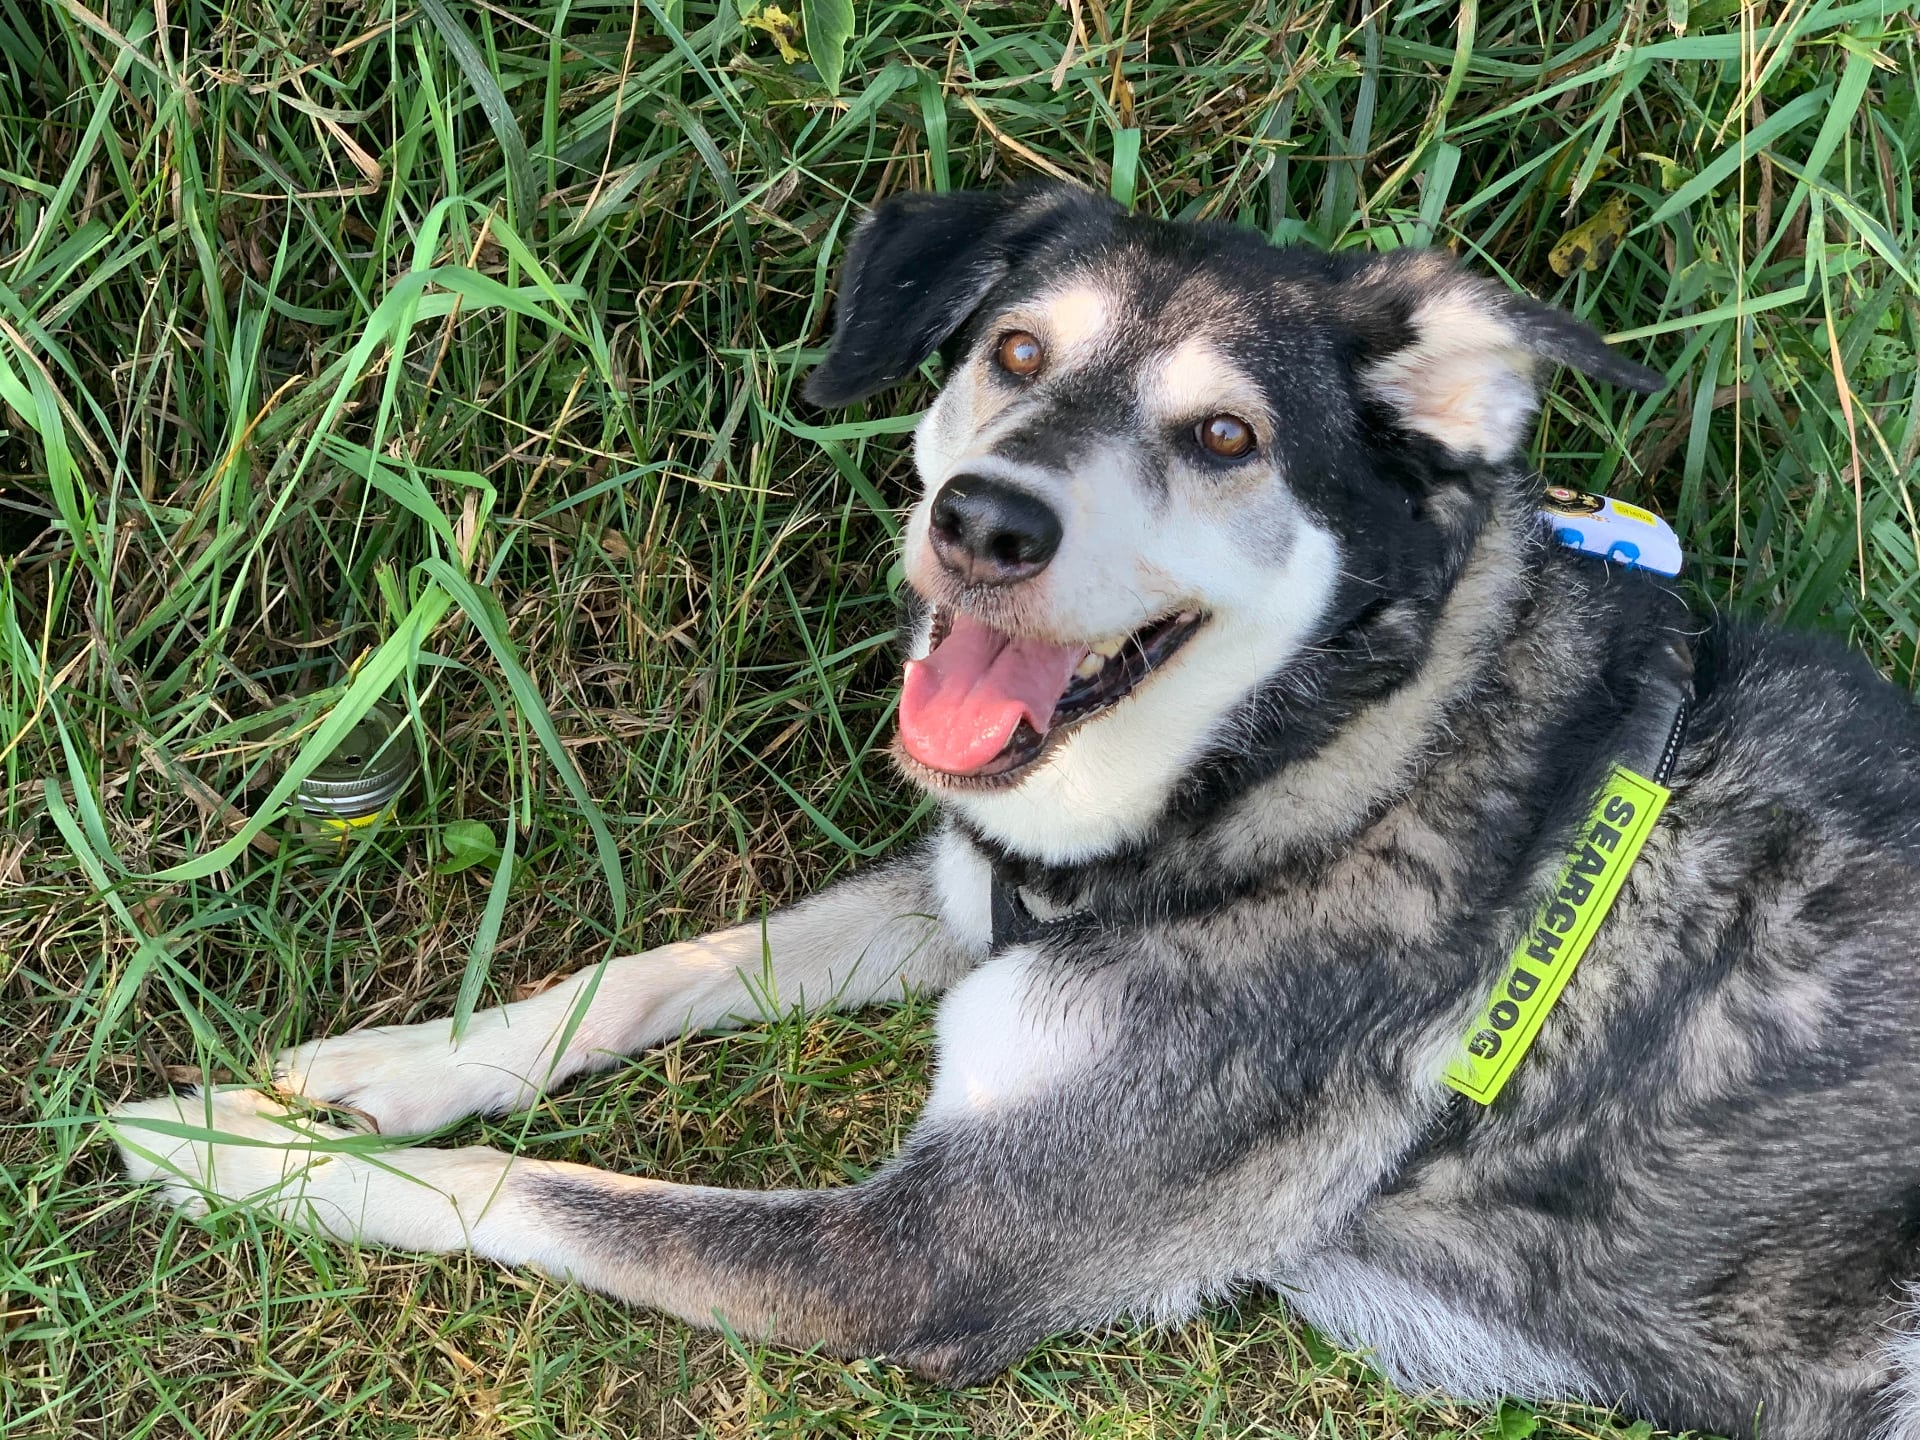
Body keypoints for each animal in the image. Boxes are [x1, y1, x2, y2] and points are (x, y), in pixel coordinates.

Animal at [108, 183, 1920, 1440]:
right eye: (1016, 353)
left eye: (1222, 436)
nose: (985, 522)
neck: (1324, 756)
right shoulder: (972, 888)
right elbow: (654, 970)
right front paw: (379, 1071)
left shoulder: (919, 1259)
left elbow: (535, 1191)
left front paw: (231, 1153)